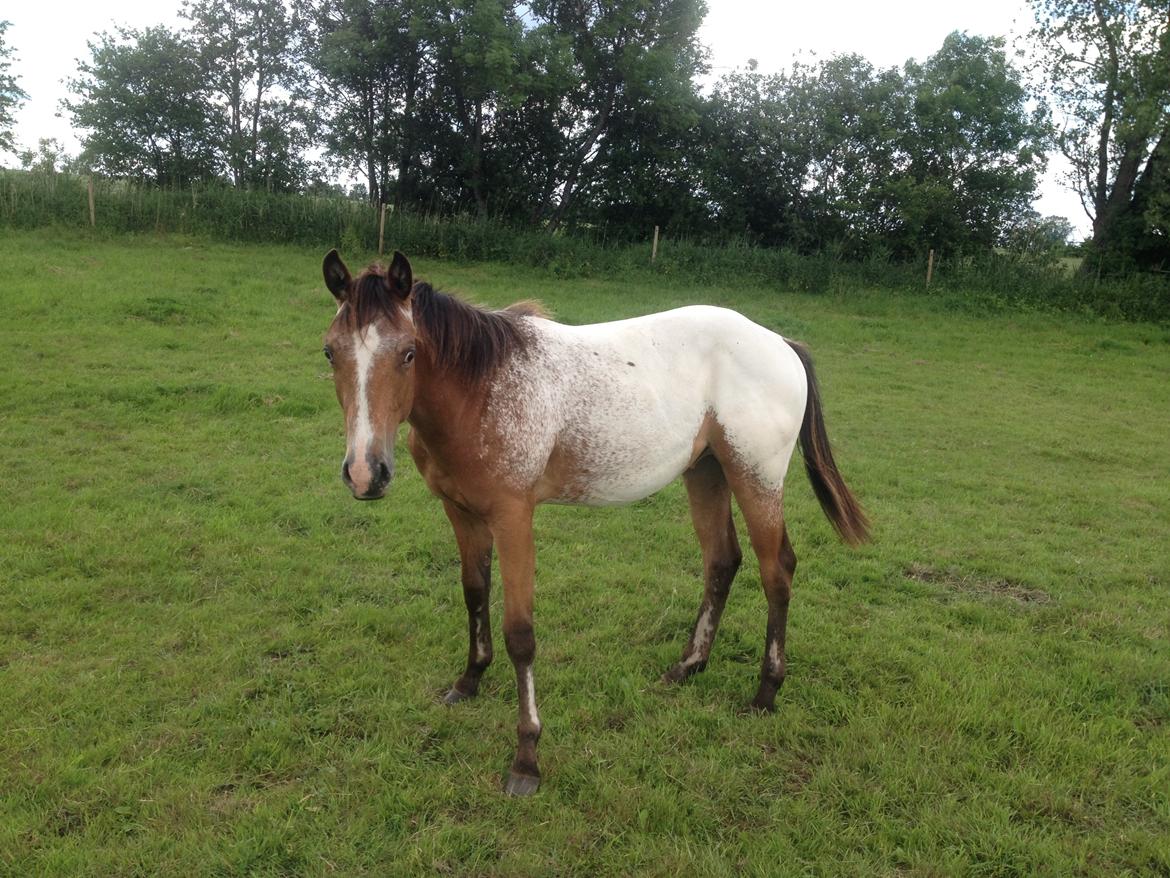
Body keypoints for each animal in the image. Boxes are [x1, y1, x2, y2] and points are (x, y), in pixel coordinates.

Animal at [320, 249, 870, 796]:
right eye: (330, 353)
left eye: (408, 353)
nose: (366, 473)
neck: (481, 387)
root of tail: (781, 343)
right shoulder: (460, 512)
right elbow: (474, 594)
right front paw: (469, 681)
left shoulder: (513, 517)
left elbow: (521, 631)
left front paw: (527, 758)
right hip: (706, 471)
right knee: (722, 562)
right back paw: (687, 667)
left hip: (755, 476)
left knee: (777, 570)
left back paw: (765, 693)